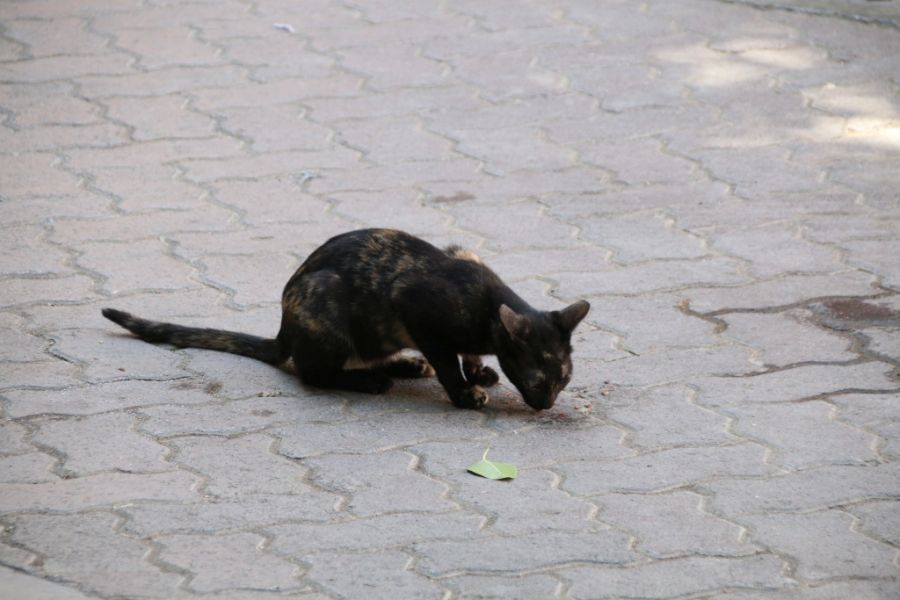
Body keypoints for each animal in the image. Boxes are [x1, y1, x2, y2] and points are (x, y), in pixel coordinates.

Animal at [102, 228, 590, 410]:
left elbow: (463, 355)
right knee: (313, 372)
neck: (487, 304)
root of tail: (283, 325)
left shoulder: (463, 250)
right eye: (538, 378)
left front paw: (479, 371)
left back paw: (405, 365)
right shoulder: (416, 307)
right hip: (326, 301)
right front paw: (464, 393)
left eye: (564, 378)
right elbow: (447, 362)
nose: (548, 404)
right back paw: (372, 380)